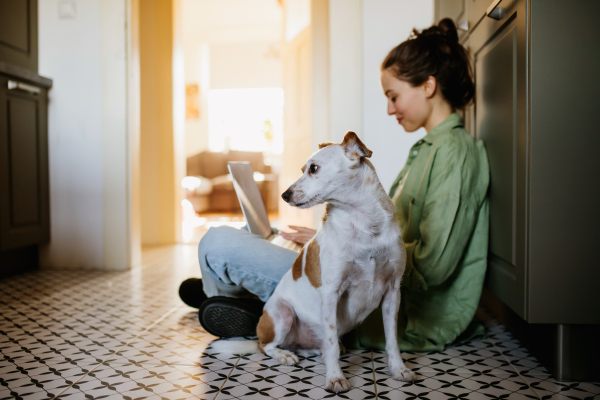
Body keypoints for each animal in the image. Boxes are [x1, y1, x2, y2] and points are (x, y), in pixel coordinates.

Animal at [213, 132, 414, 394]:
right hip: (282, 315)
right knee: (266, 347)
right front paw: (335, 377)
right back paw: (284, 355)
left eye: (314, 168)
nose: (284, 195)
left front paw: (399, 369)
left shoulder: (392, 292)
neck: (363, 224)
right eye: (303, 169)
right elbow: (331, 342)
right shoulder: (331, 293)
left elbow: (392, 341)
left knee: (314, 347)